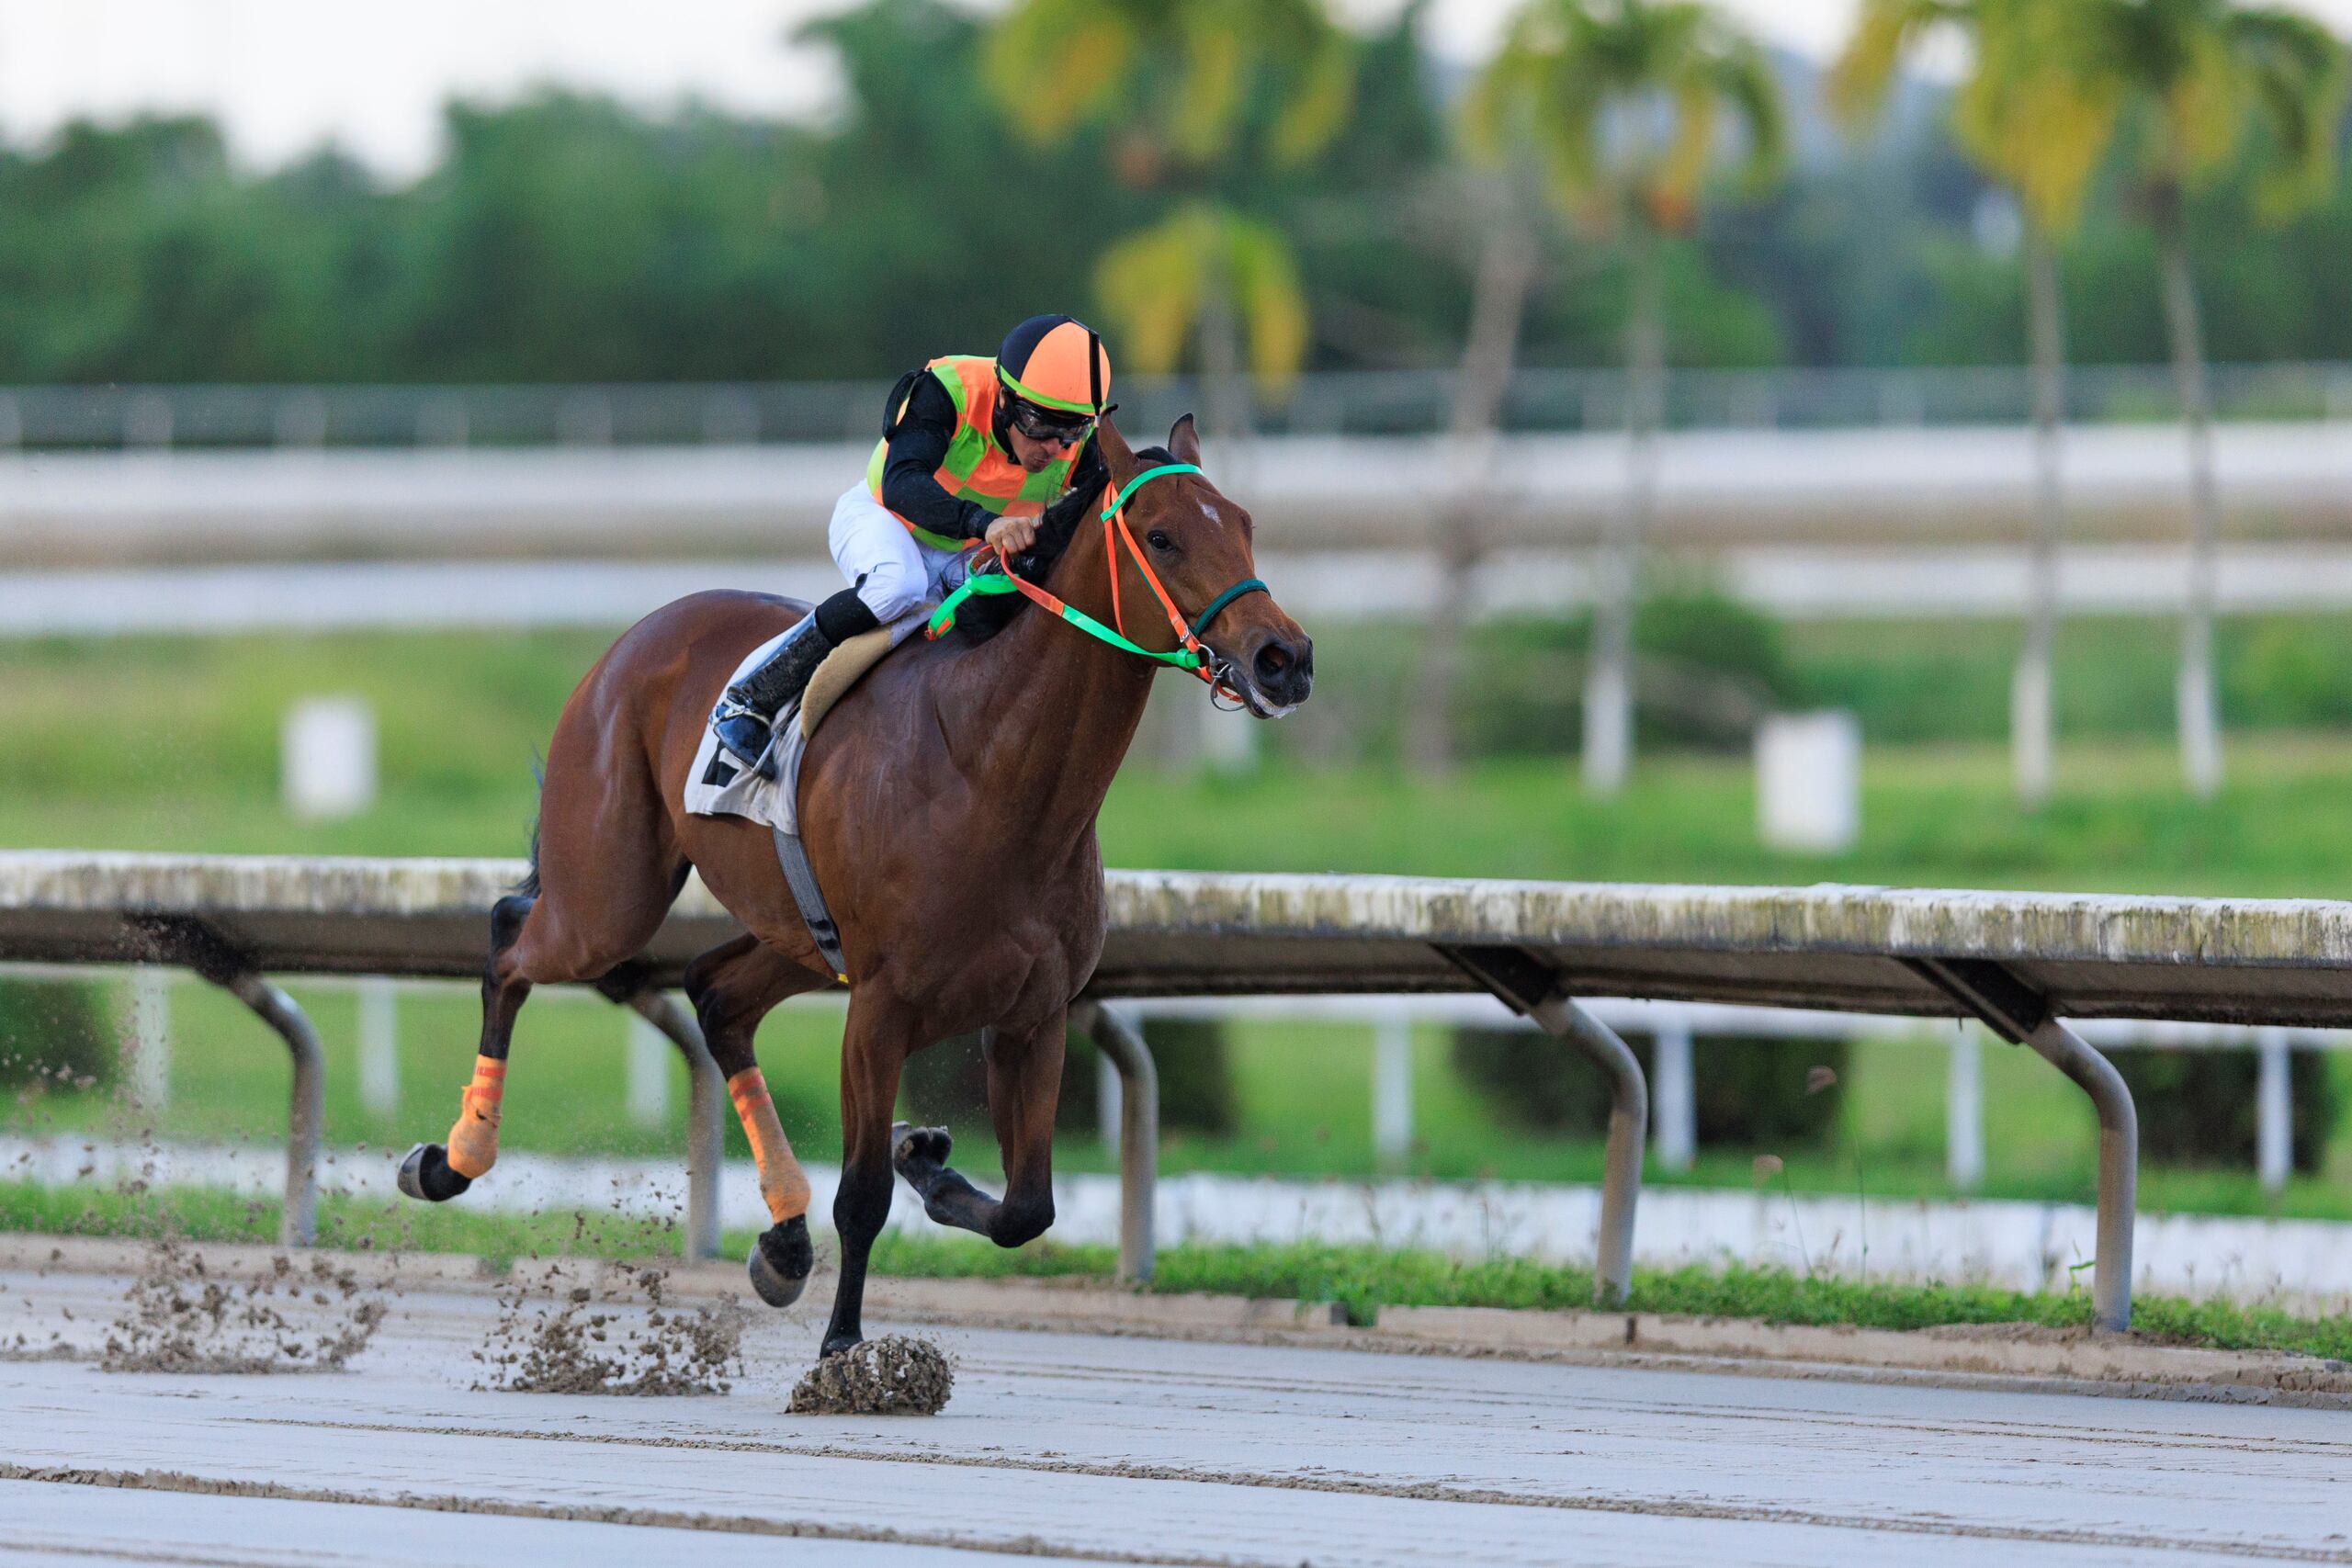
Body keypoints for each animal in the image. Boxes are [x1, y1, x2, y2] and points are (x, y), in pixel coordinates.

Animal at [397, 415, 1317, 1363]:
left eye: (1244, 524)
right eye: (1163, 537)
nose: (1283, 657)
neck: (992, 772)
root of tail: (636, 637)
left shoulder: (1033, 1012)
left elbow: (1028, 1206)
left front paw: (928, 1162)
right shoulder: (880, 1008)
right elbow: (865, 1193)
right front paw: (844, 1346)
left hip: (797, 933)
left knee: (715, 993)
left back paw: (783, 1238)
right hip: (608, 899)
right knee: (510, 938)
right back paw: (451, 1159)